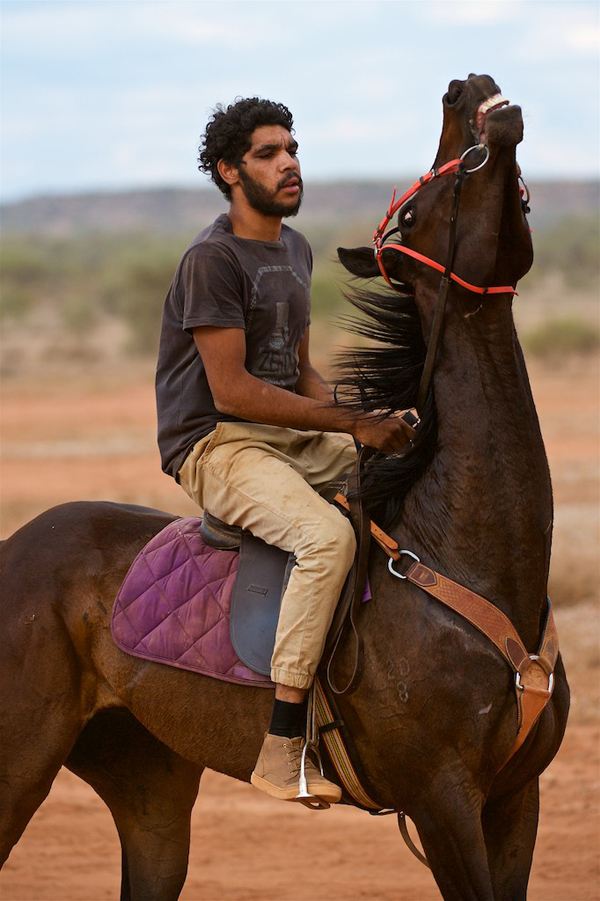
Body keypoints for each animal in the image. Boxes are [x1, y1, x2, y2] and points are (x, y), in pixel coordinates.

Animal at [0, 74, 569, 900]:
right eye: (415, 214)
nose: (465, 87)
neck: (461, 555)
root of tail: (14, 547)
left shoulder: (515, 798)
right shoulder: (444, 803)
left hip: (149, 782)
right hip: (18, 763)